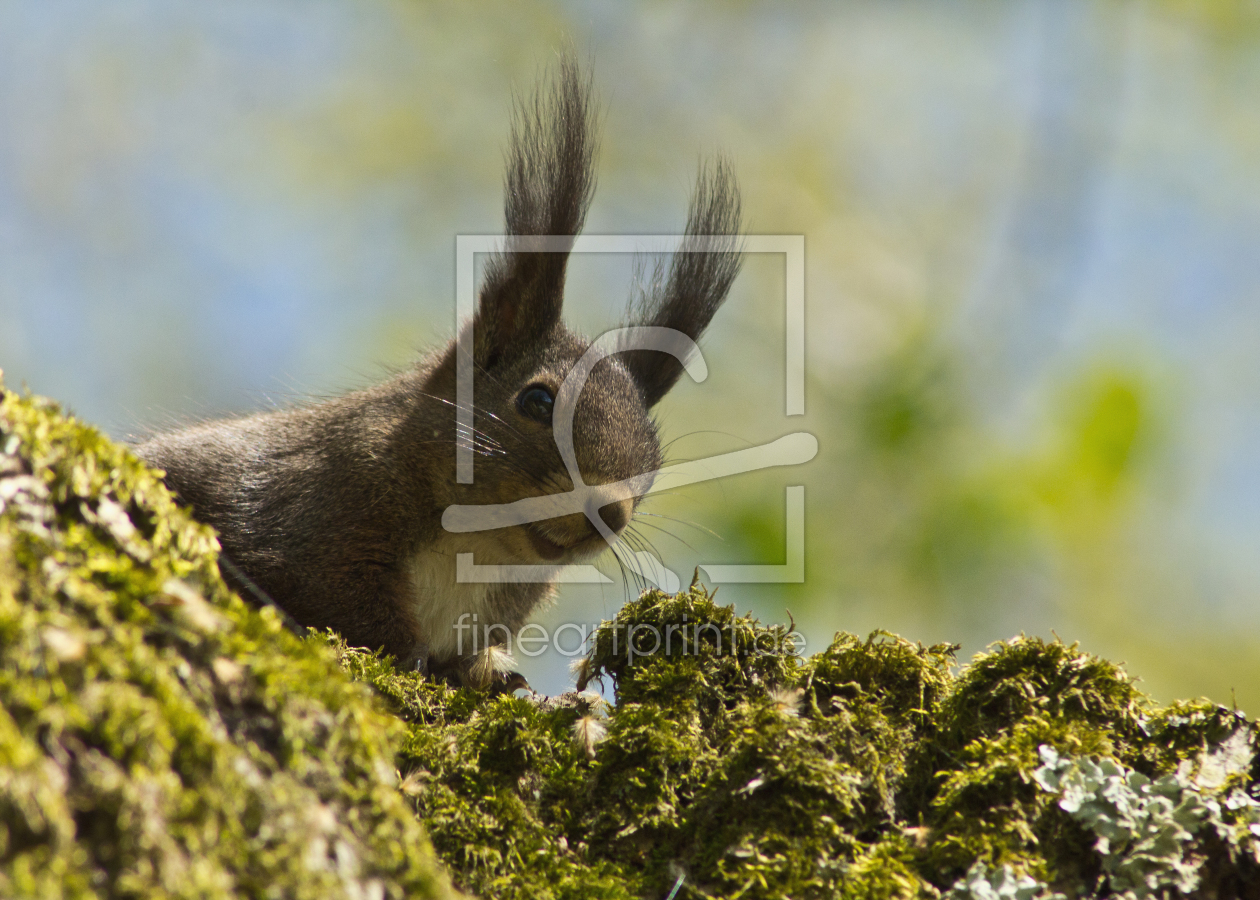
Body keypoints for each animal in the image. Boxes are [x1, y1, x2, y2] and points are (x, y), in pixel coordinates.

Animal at [134, 56, 740, 685]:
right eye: (537, 401)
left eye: (655, 462)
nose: (612, 513)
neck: (476, 549)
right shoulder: (313, 506)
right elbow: (329, 591)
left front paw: (493, 673)